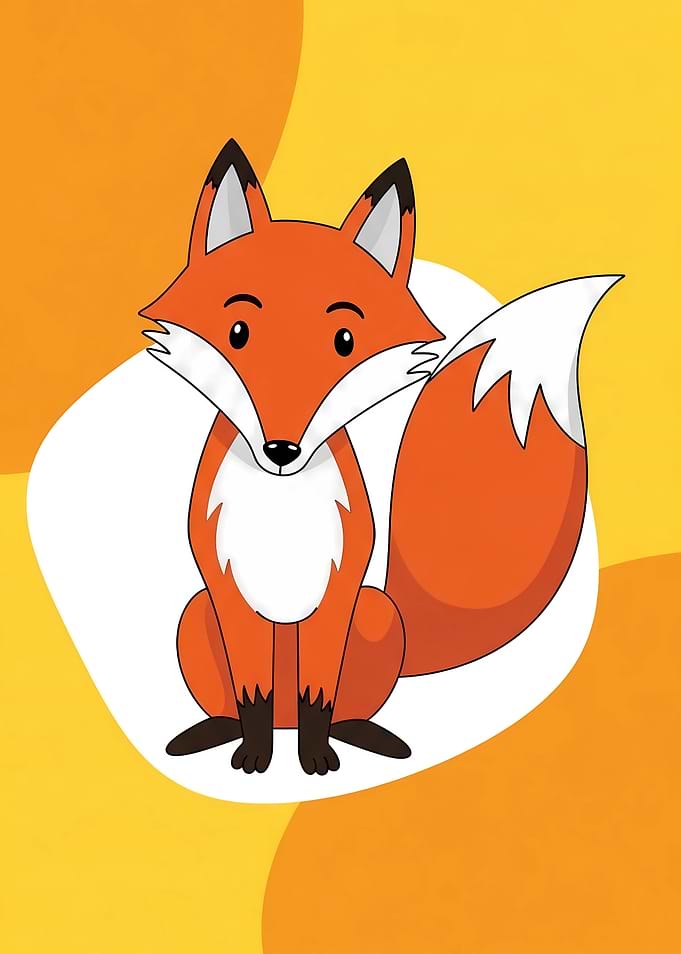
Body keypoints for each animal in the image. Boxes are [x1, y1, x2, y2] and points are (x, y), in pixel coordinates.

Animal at [142, 138, 621, 776]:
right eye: (238, 331)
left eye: (345, 341)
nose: (281, 449)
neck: (280, 507)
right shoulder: (226, 590)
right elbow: (252, 695)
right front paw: (255, 756)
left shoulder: (340, 591)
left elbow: (318, 696)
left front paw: (315, 759)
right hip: (196, 616)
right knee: (243, 703)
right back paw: (213, 732)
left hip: (373, 614)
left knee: (341, 709)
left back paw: (367, 737)